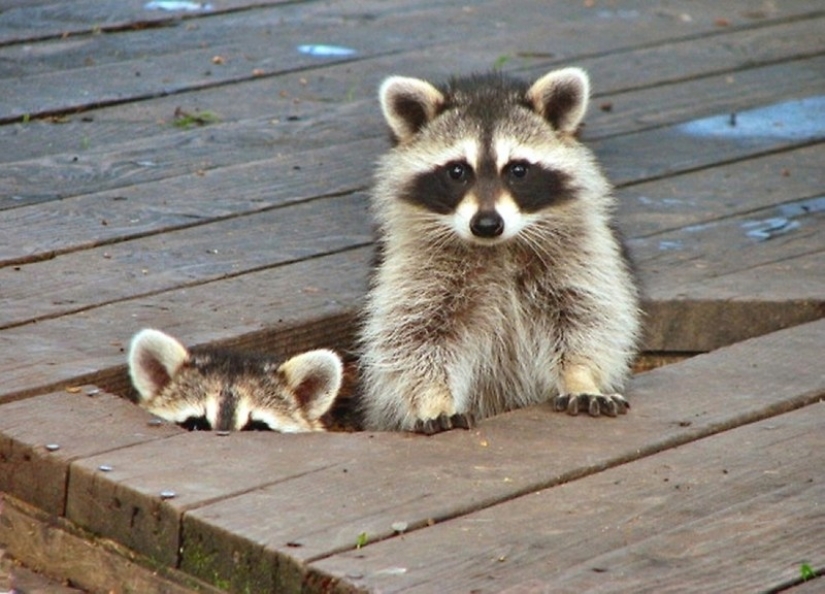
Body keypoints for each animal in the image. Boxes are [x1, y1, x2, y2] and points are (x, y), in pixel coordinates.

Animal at [358, 68, 641, 433]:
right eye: (457, 171)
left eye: (518, 170)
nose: (487, 224)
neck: (497, 248)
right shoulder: (413, 266)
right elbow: (413, 338)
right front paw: (433, 400)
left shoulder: (582, 253)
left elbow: (587, 319)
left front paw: (581, 378)